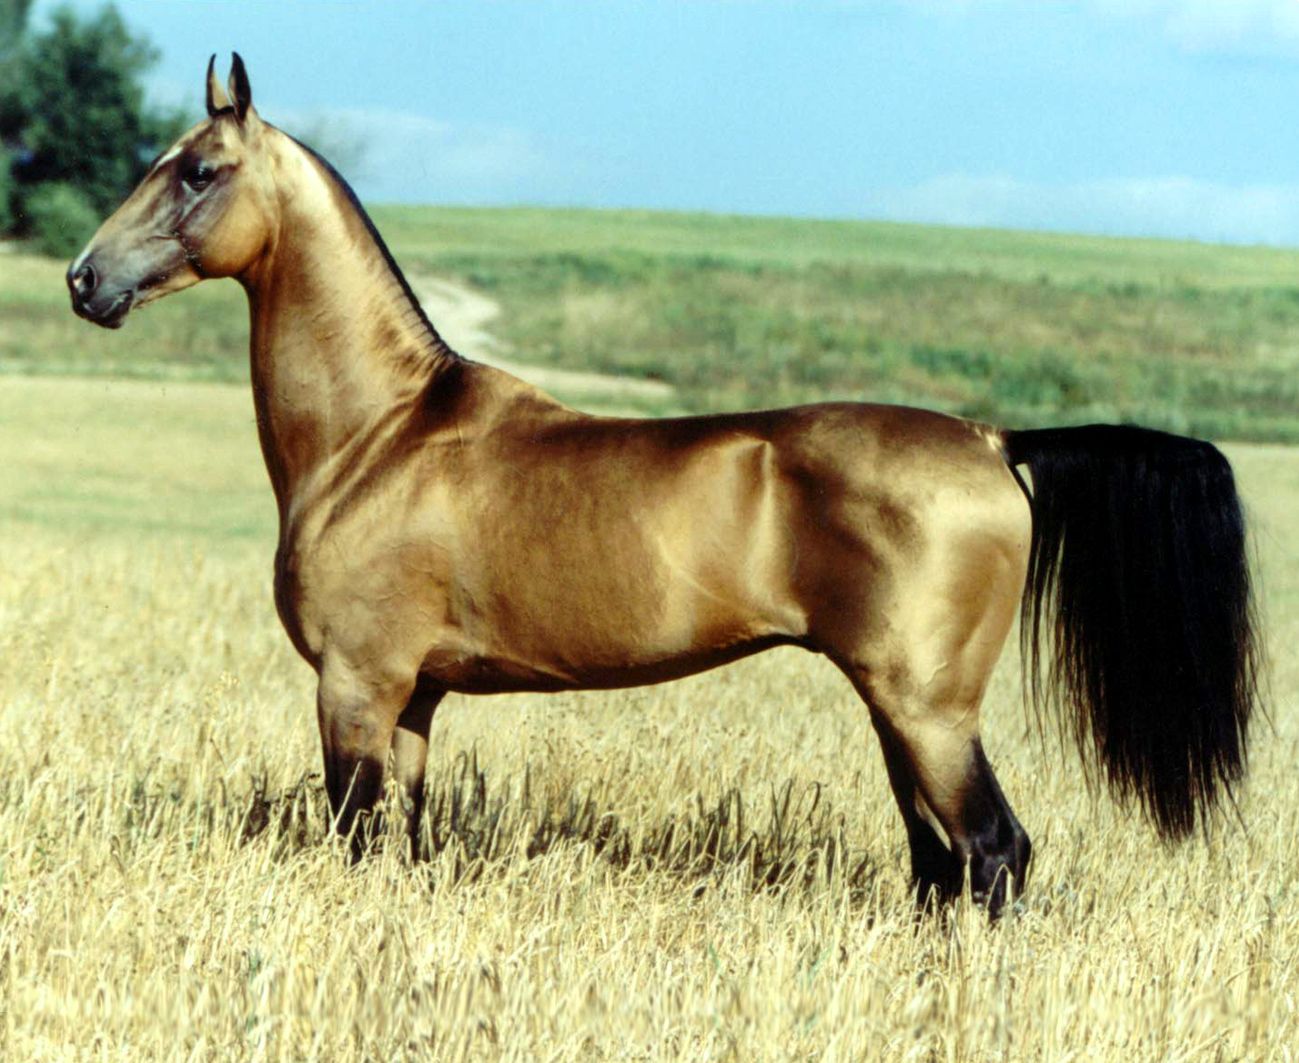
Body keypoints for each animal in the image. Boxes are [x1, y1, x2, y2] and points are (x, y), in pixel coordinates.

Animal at [63, 53, 1257, 909]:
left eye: (197, 169)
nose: (86, 279)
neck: (381, 435)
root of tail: (988, 435)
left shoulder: (356, 686)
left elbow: (356, 844)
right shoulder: (413, 698)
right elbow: (402, 846)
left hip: (929, 713)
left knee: (994, 851)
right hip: (899, 710)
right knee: (940, 864)